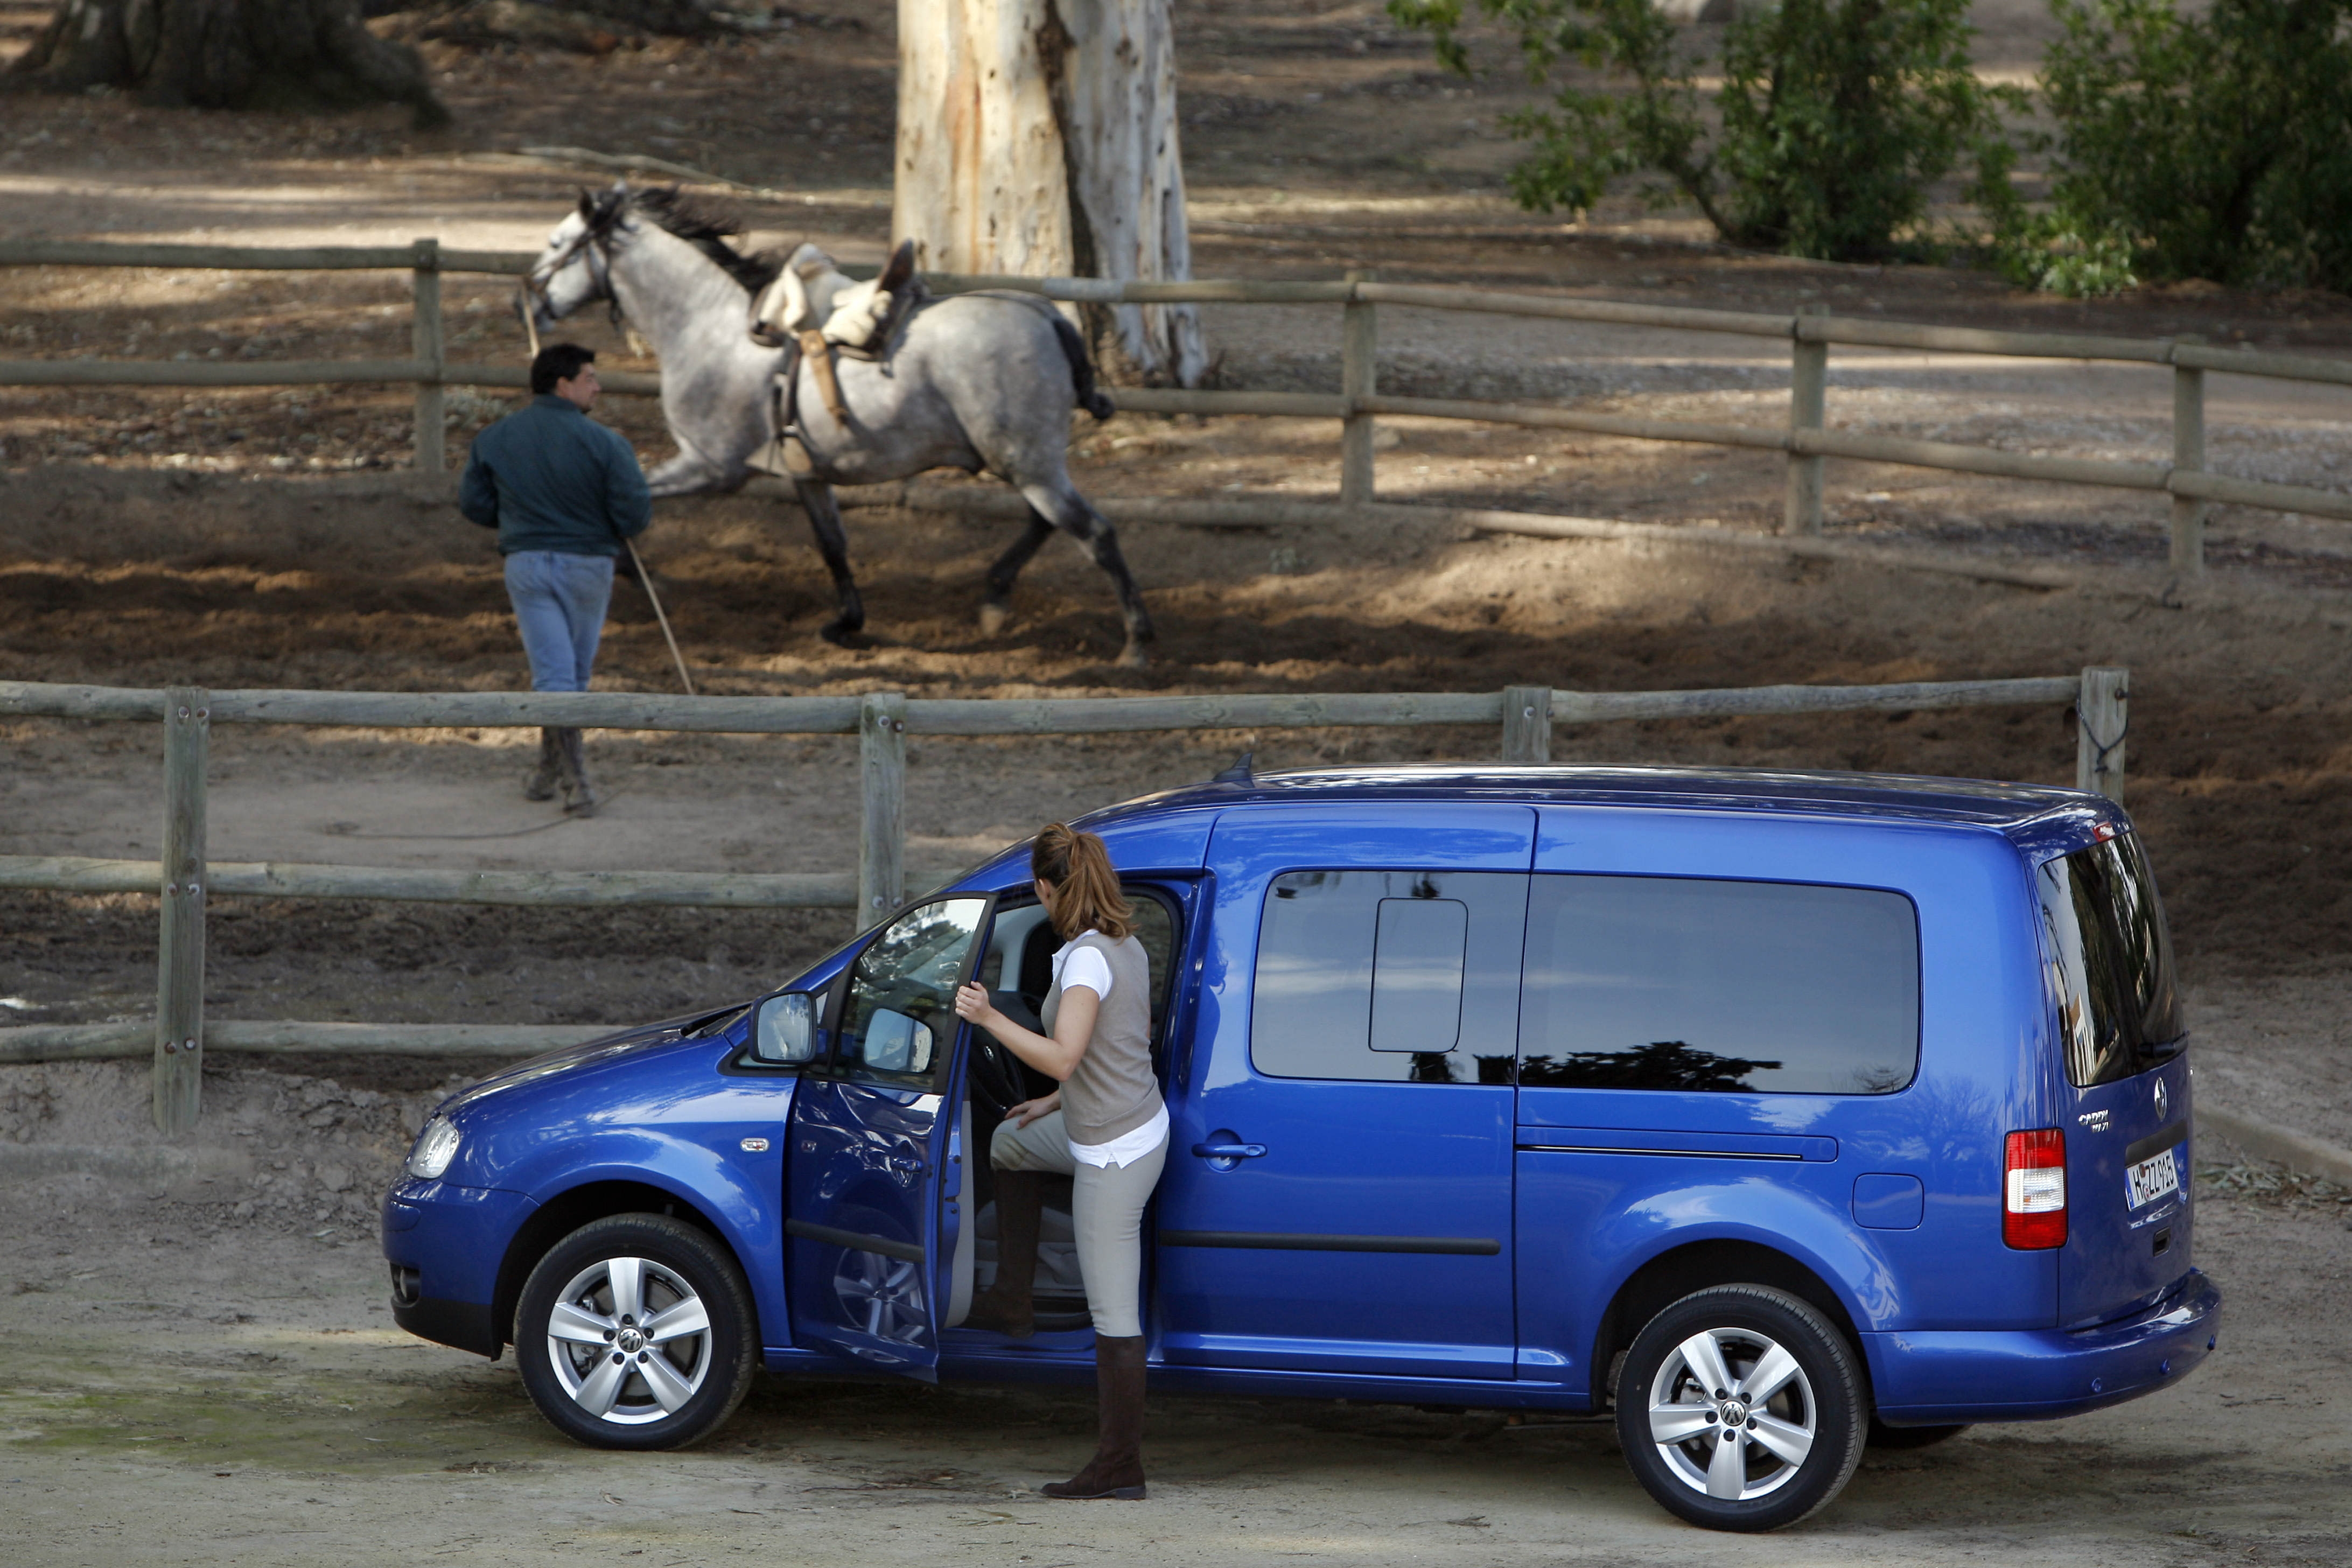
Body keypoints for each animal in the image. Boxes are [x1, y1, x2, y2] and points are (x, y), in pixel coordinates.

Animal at [520, 188, 1152, 667]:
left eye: (556, 243)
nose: (526, 298)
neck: (709, 324)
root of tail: (1049, 318)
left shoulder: (709, 467)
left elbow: (629, 517)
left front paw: (652, 581)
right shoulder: (806, 475)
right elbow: (832, 546)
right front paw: (847, 623)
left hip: (1029, 465)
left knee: (1095, 532)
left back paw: (1134, 644)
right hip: (1024, 463)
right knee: (1046, 524)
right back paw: (995, 598)